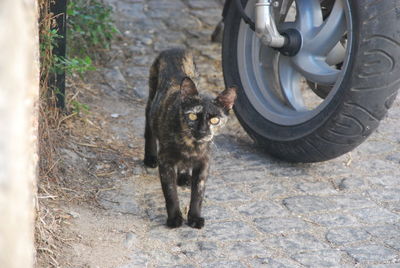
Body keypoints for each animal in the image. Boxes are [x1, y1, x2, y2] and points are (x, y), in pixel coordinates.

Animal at [145, 48, 236, 228]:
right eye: (193, 116)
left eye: (214, 120)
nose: (202, 131)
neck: (191, 146)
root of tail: (174, 48)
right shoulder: (165, 162)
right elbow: (170, 192)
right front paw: (174, 218)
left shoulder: (204, 163)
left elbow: (198, 194)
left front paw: (194, 217)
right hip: (152, 95)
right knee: (148, 122)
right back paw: (149, 157)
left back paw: (184, 177)